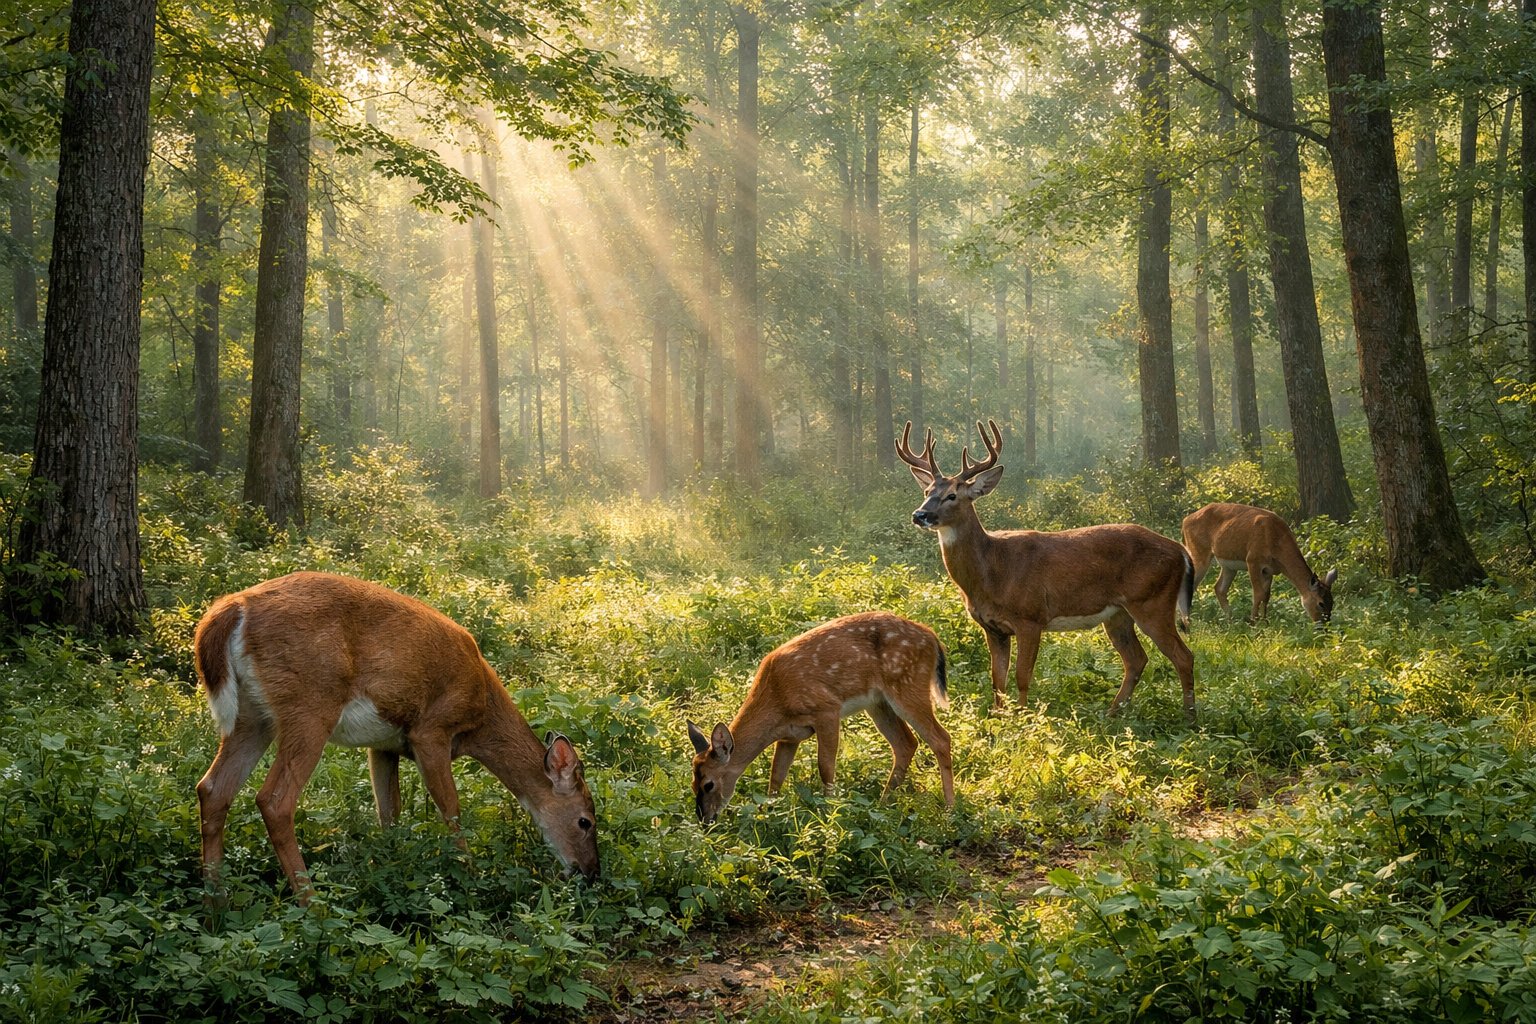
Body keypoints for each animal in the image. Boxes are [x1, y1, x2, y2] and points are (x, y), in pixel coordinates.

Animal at [193, 571, 599, 903]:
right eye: (586, 821)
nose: (591, 874)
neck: (481, 714)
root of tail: (232, 607)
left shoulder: (383, 745)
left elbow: (389, 811)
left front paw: (393, 863)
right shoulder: (430, 731)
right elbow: (451, 808)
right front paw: (468, 873)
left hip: (253, 716)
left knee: (212, 789)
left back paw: (216, 901)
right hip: (310, 704)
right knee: (274, 800)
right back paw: (312, 903)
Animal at [687, 612, 954, 824]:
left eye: (708, 784)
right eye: (692, 784)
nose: (705, 820)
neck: (777, 698)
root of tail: (933, 638)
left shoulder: (827, 710)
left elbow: (825, 767)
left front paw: (830, 813)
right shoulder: (789, 736)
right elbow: (776, 776)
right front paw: (770, 814)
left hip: (908, 685)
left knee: (941, 738)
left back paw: (949, 809)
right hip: (879, 703)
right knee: (906, 743)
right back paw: (882, 803)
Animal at [898, 419, 1197, 724]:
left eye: (952, 495)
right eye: (926, 492)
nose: (919, 515)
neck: (991, 572)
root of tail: (1181, 552)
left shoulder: (1031, 617)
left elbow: (1022, 676)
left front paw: (1023, 719)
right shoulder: (992, 628)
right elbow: (997, 680)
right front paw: (999, 720)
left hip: (1152, 601)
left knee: (1183, 656)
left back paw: (1190, 718)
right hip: (1118, 614)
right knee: (1136, 659)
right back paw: (1111, 714)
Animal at [1181, 502, 1338, 624]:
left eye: (1332, 602)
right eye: (1320, 603)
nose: (1324, 626)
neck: (1276, 541)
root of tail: (1185, 520)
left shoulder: (1269, 570)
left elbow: (1266, 595)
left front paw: (1265, 621)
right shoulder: (1253, 560)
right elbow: (1258, 593)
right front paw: (1254, 622)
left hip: (1228, 565)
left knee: (1219, 588)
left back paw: (1230, 620)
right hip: (1198, 552)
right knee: (1192, 584)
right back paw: (1188, 621)